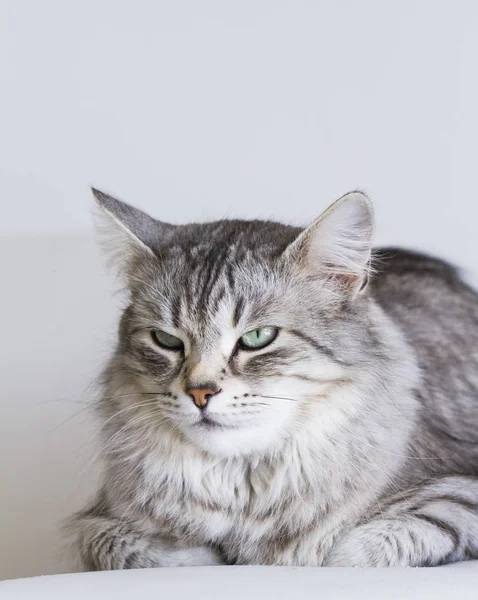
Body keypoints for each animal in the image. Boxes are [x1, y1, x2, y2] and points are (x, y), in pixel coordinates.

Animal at [67, 190, 478, 568]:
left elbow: (358, 550)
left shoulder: (459, 490)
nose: (199, 393)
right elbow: (135, 551)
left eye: (257, 337)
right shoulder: (98, 520)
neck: (243, 492)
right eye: (166, 340)